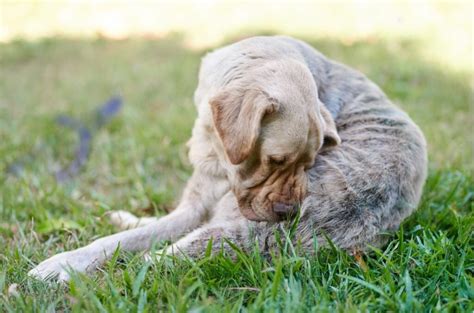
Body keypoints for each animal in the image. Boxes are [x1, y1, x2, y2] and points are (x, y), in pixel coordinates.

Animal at [27, 36, 426, 280]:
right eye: (274, 160)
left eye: (311, 162)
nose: (289, 213)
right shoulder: (197, 199)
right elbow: (124, 238)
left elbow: (131, 244)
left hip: (231, 231)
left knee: (150, 258)